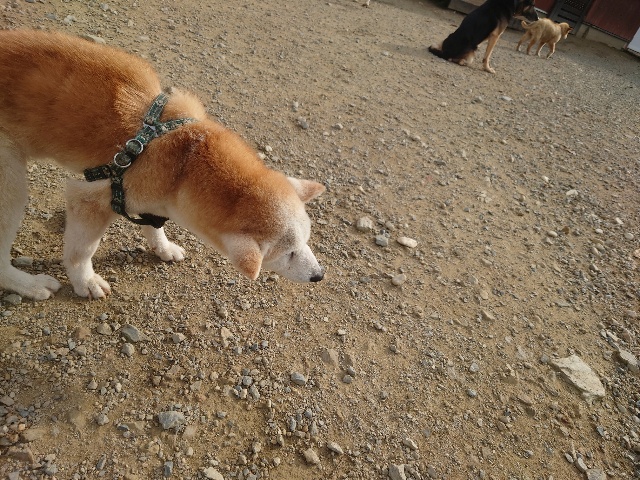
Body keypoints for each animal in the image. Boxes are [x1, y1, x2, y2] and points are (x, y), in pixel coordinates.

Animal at [0, 30, 326, 301]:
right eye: (288, 254)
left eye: (306, 240)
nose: (319, 276)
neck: (186, 157)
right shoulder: (90, 199)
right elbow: (82, 252)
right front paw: (86, 282)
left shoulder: (147, 195)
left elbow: (154, 225)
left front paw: (163, 247)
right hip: (11, 183)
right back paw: (29, 285)